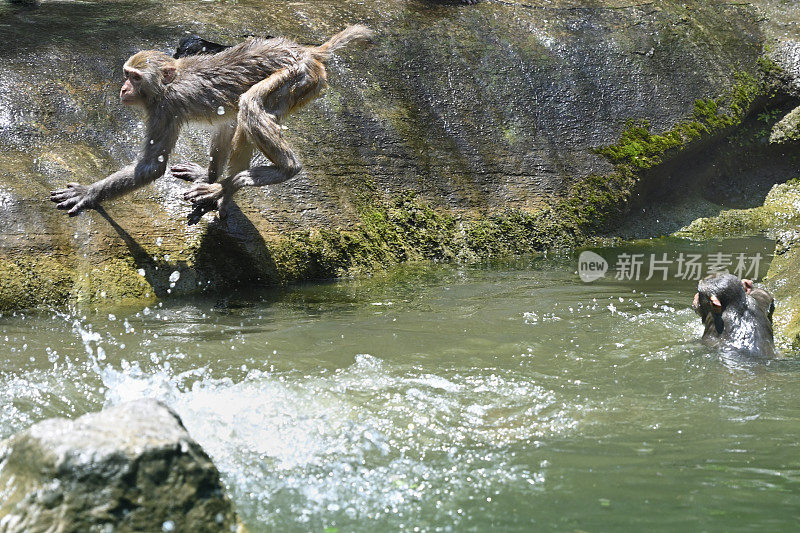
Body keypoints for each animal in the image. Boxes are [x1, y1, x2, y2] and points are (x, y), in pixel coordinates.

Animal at [50, 25, 376, 223]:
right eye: (126, 74)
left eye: (135, 78)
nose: (123, 89)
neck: (167, 84)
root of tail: (307, 51)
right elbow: (224, 126)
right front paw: (208, 177)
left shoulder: (163, 109)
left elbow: (151, 168)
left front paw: (89, 193)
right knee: (239, 120)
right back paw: (219, 185)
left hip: (299, 77)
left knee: (250, 106)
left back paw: (258, 178)